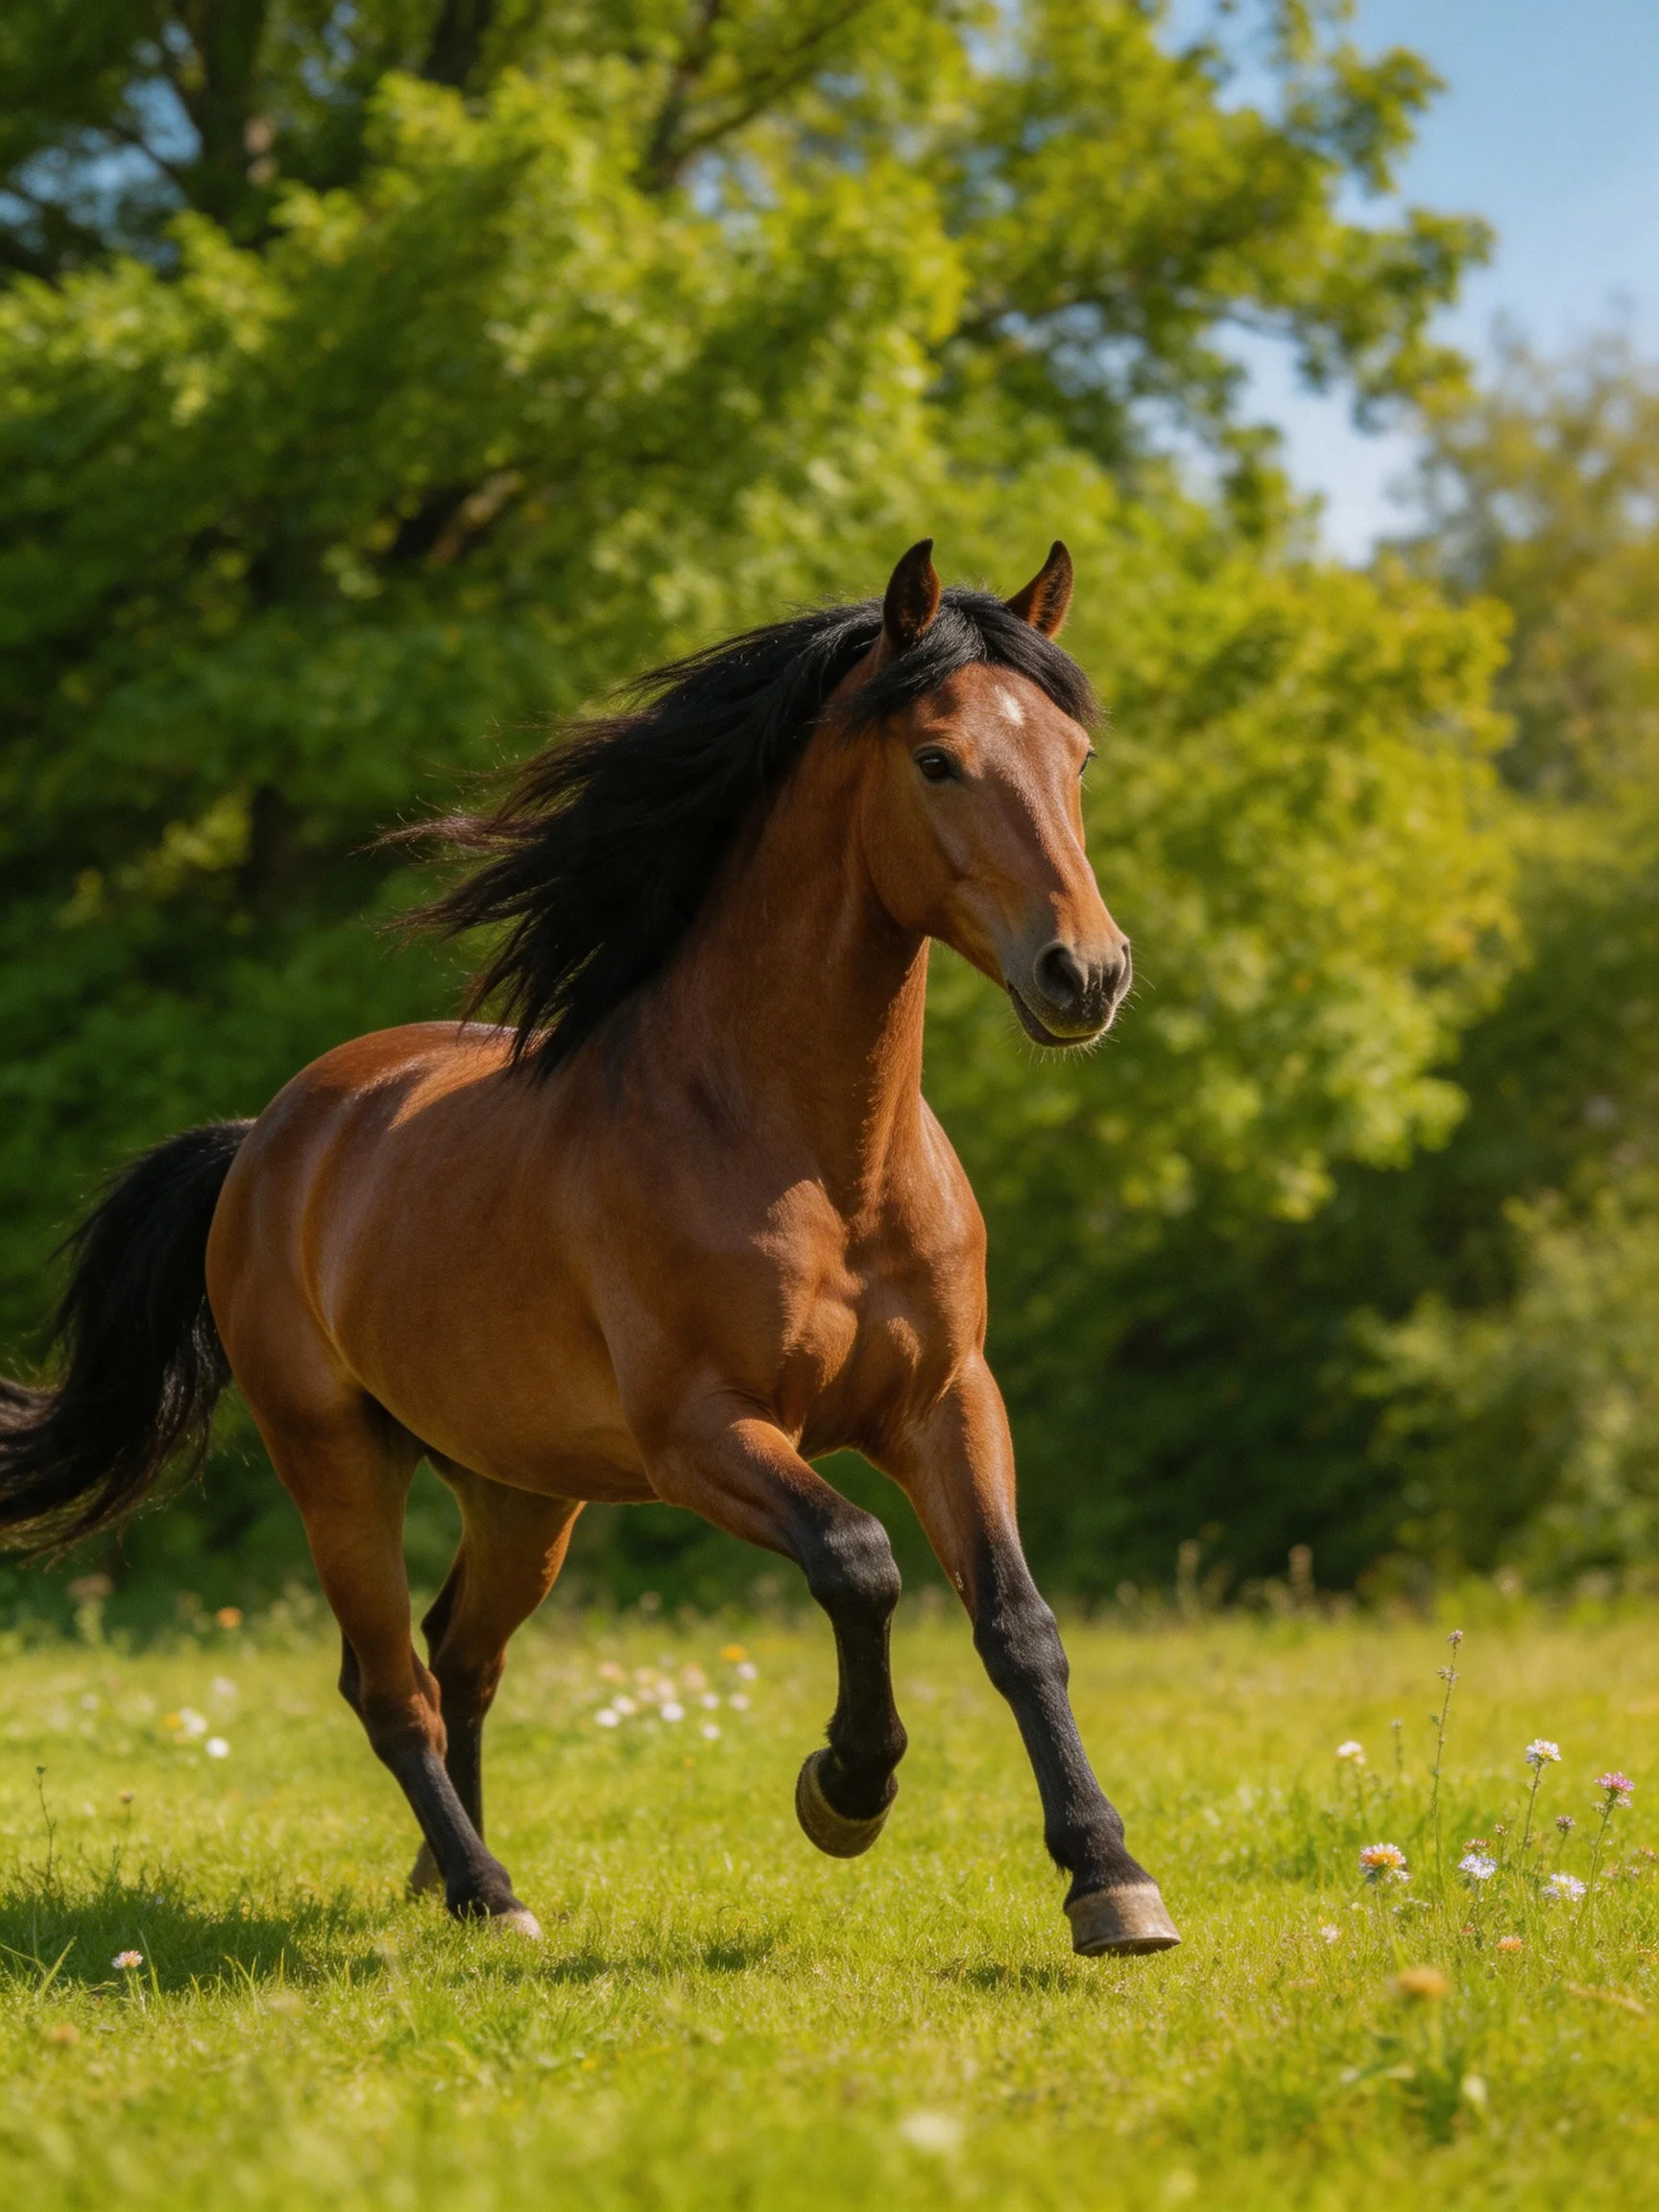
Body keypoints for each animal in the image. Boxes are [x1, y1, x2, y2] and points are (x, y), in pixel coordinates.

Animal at [0, 540, 1179, 1959]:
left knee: (462, 1655)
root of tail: (266, 1141)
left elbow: (1017, 1623)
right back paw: (487, 1893)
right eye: (937, 758)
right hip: (334, 1458)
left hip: (523, 1488)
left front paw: (1109, 1878)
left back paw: (445, 1873)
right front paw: (846, 1789)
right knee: (390, 1683)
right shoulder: (702, 1437)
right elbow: (859, 1563)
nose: (1086, 975)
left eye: (1075, 756)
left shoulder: (948, 1402)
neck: (818, 1165)